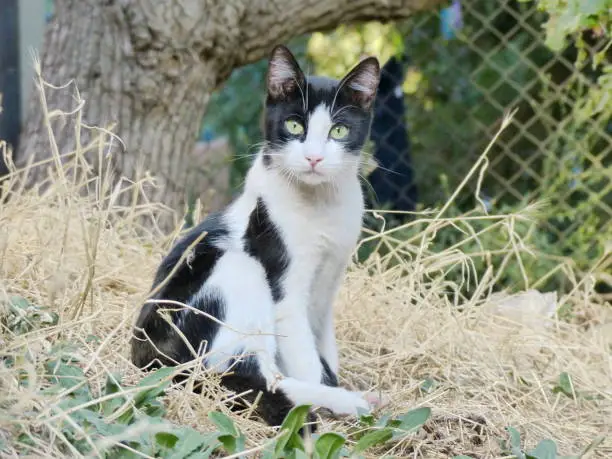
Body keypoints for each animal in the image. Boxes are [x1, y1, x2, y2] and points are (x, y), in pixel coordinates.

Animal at [131, 44, 384, 428]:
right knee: (245, 377)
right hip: (237, 267)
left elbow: (325, 348)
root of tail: (147, 360)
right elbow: (307, 360)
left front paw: (334, 378)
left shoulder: (327, 288)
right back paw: (342, 402)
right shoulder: (285, 293)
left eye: (339, 131)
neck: (321, 206)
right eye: (294, 125)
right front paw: (330, 402)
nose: (313, 158)